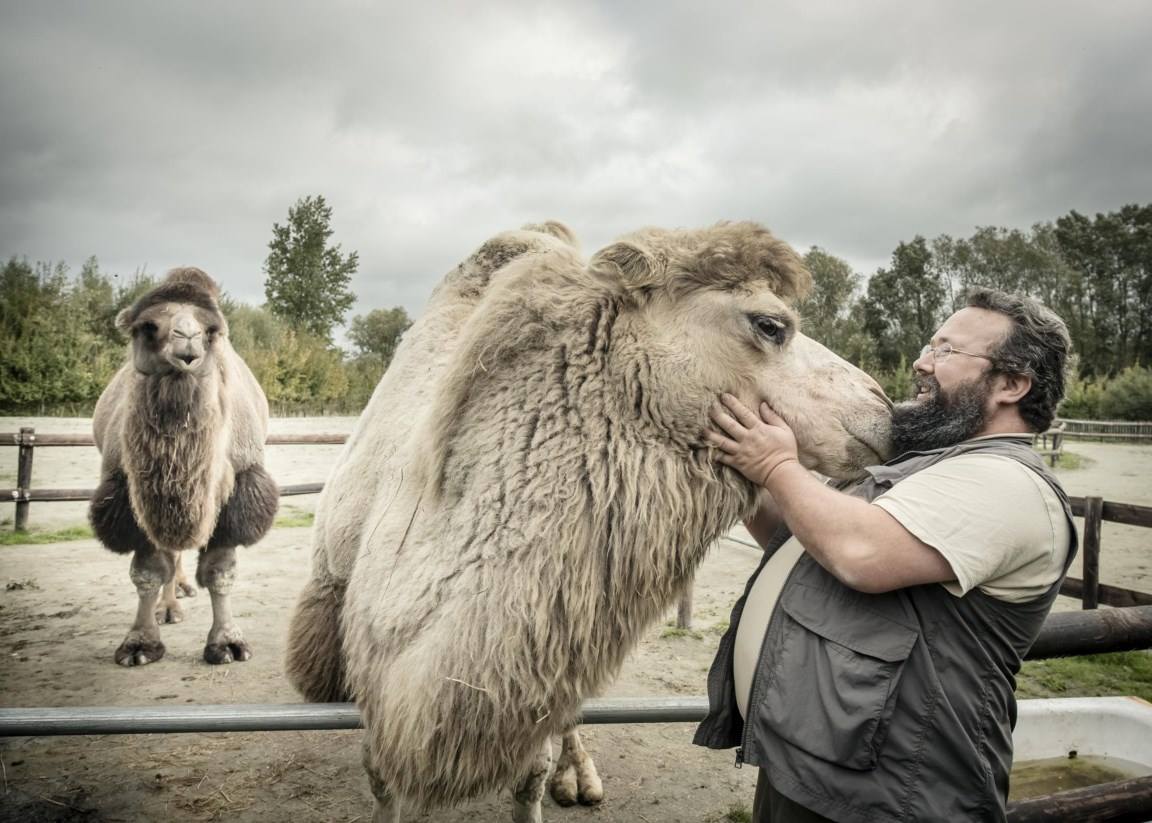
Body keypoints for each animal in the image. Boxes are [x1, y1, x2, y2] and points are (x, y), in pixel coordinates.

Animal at [89, 269, 278, 668]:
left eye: (210, 330)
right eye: (148, 326)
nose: (187, 339)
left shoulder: (237, 491)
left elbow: (220, 572)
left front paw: (227, 643)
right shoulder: (128, 494)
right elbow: (146, 573)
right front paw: (140, 644)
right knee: (169, 557)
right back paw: (169, 607)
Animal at [285, 221, 889, 816]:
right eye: (770, 325)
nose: (887, 412)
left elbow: (530, 771)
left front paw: (557, 775)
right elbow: (384, 780)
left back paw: (581, 777)